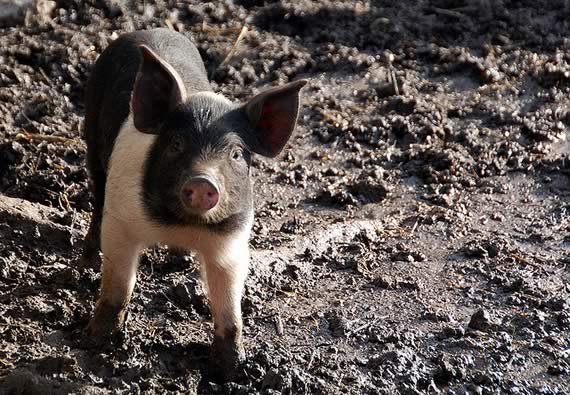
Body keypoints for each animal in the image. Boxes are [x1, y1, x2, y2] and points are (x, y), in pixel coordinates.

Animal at [80, 28, 306, 380]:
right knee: (95, 196)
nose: (203, 182)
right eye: (176, 144)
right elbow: (118, 287)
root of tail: (146, 31)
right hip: (91, 132)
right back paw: (87, 263)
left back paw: (180, 261)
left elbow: (229, 307)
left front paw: (231, 371)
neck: (179, 226)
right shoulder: (120, 222)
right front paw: (95, 342)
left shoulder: (231, 239)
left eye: (236, 154)